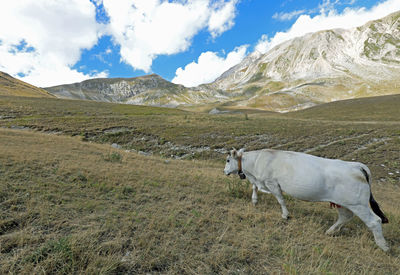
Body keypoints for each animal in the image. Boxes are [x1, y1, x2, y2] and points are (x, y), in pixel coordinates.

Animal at [223, 149, 390, 252]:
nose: (224, 171)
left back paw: (383, 246)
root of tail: (356, 165)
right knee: (345, 216)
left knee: (374, 221)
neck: (257, 162)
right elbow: (254, 187)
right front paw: (254, 200)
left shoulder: (272, 183)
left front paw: (285, 215)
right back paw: (330, 231)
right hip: (344, 203)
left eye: (227, 160)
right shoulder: (260, 181)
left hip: (358, 204)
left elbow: (280, 200)